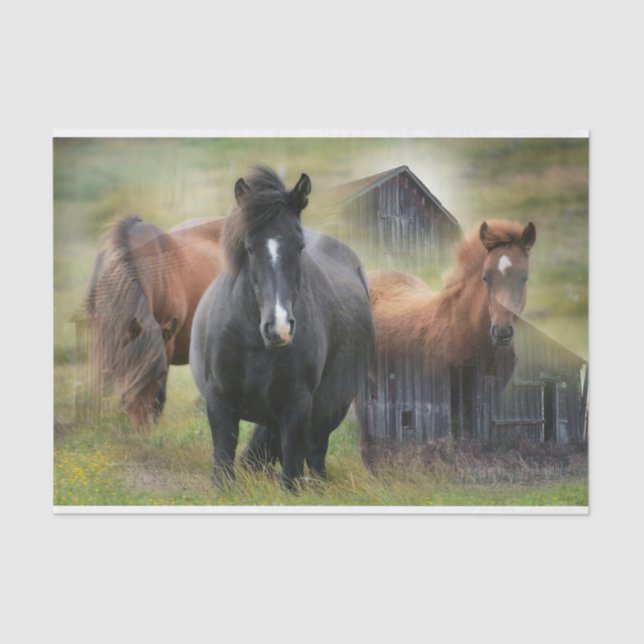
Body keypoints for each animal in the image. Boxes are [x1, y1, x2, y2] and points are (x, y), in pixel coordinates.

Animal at [189, 166, 375, 488]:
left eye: (299, 246)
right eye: (249, 248)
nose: (279, 328)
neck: (254, 345)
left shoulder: (297, 408)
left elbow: (291, 475)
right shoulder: (219, 403)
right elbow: (224, 466)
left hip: (329, 411)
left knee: (316, 454)